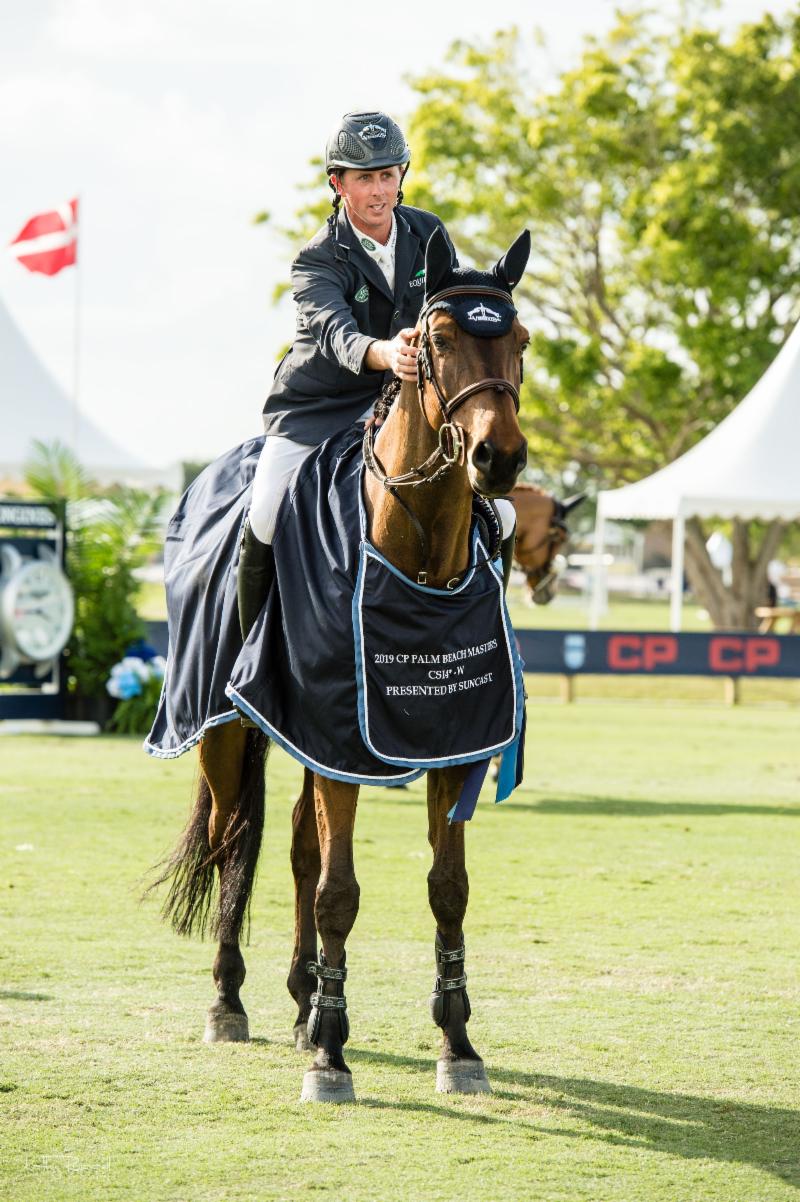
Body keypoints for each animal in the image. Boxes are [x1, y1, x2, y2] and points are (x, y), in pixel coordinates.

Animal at [153, 229, 533, 1101]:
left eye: (522, 342)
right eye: (437, 340)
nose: (497, 459)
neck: (417, 548)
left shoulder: (438, 744)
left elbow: (446, 891)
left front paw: (457, 1046)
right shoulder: (342, 743)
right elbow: (339, 892)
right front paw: (331, 1055)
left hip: (308, 739)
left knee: (295, 846)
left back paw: (300, 1000)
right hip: (226, 730)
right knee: (233, 840)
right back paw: (230, 1002)